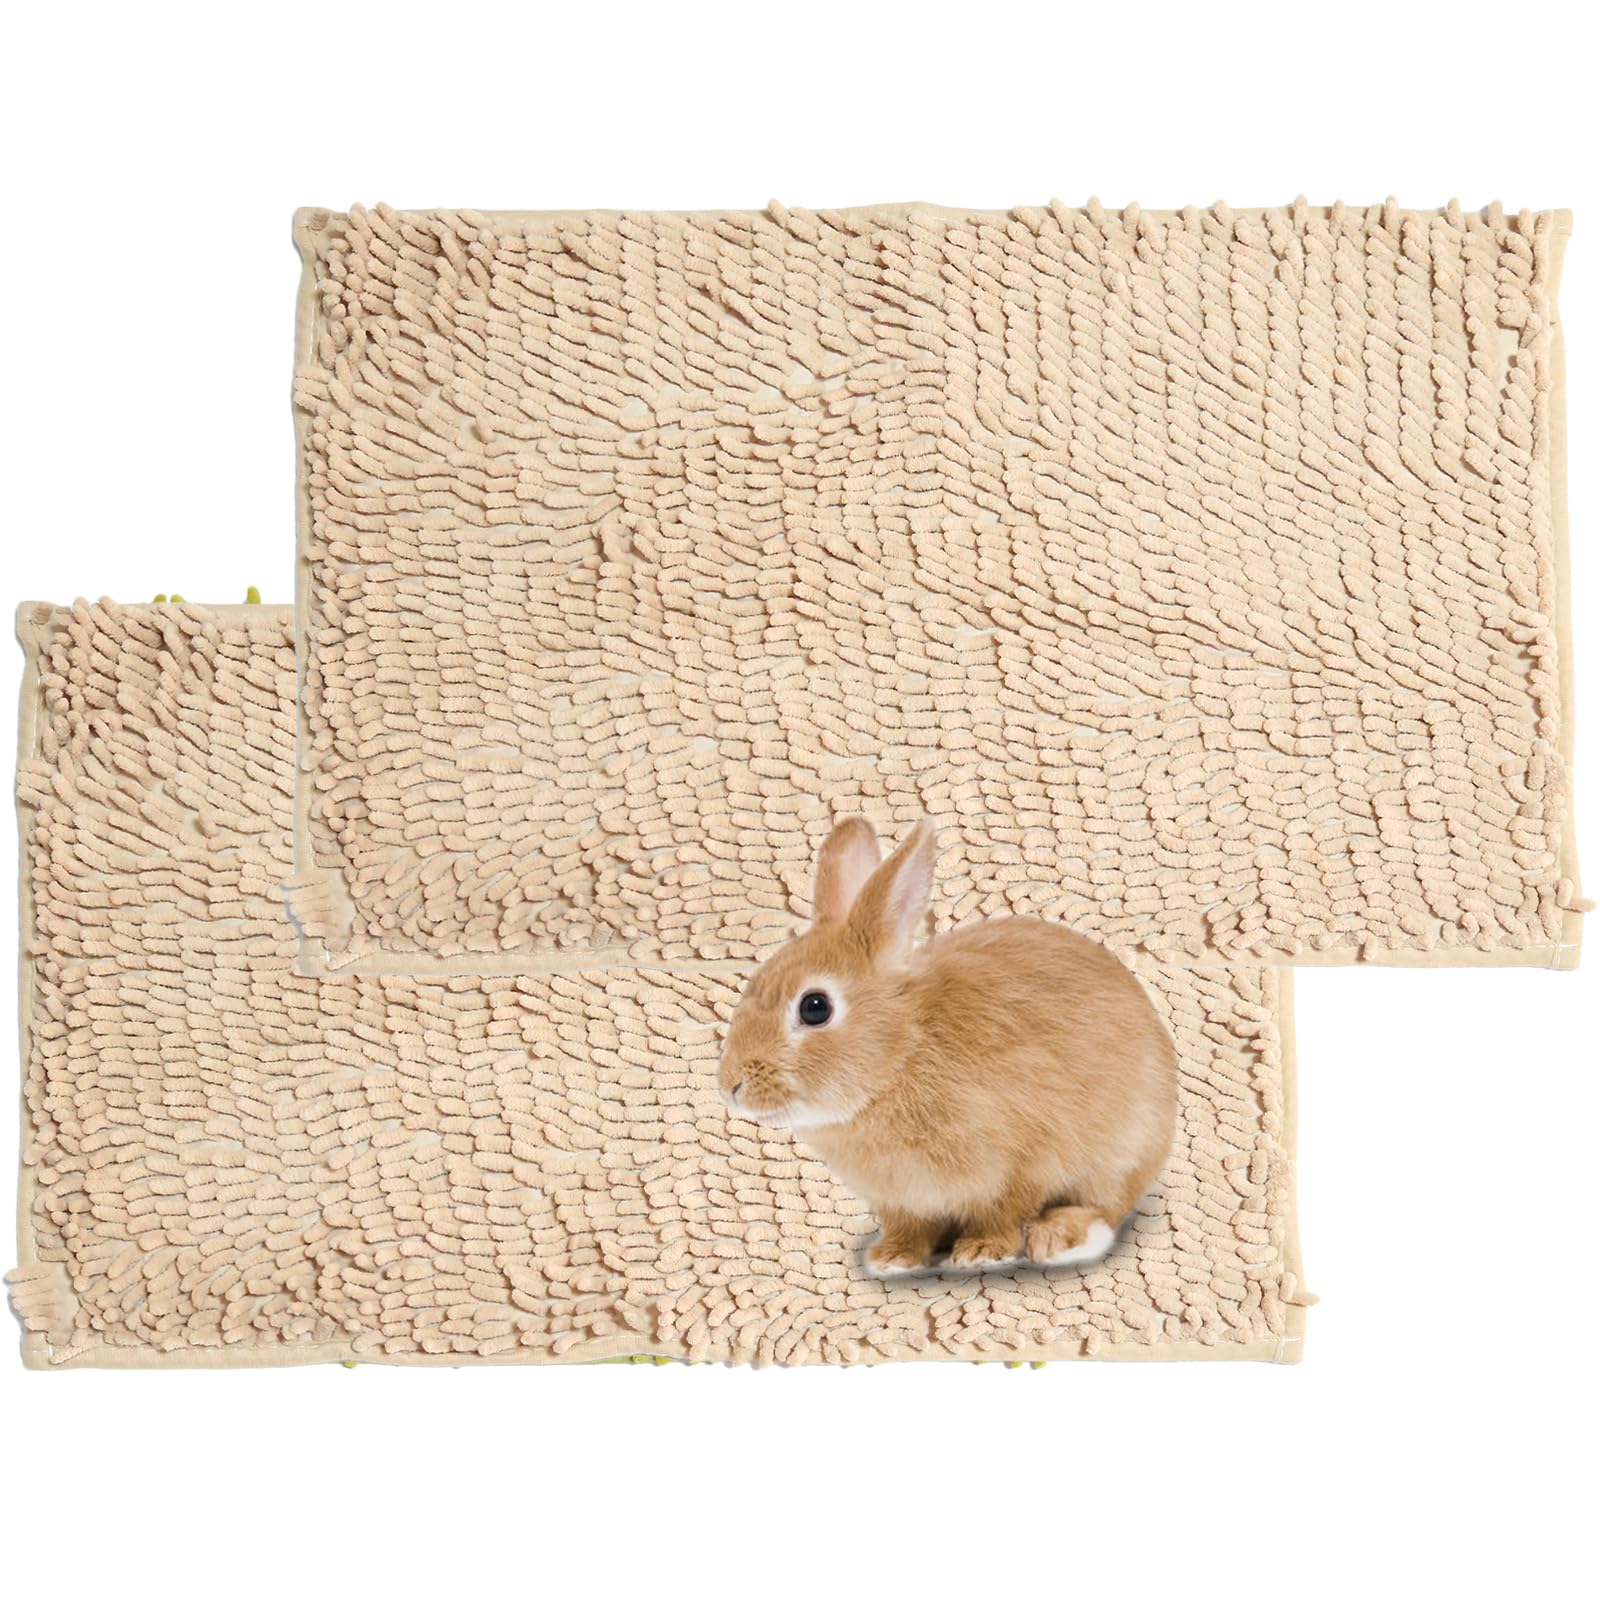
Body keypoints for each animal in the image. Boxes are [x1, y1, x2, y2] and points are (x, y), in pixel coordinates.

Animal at [717, 817, 1178, 1275]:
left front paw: (981, 1251)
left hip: (1124, 1149)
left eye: (815, 1007)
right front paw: (892, 1259)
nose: (731, 1087)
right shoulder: (902, 1201)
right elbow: (909, 1228)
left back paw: (1060, 1237)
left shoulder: (1025, 1162)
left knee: (1106, 1206)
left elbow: (1005, 1212)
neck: (902, 1054)